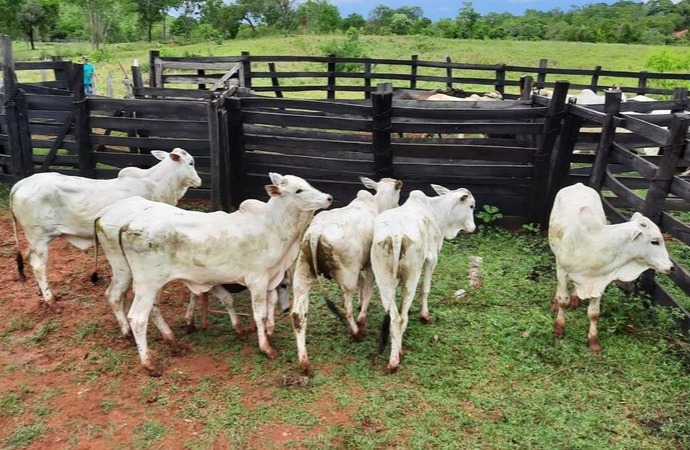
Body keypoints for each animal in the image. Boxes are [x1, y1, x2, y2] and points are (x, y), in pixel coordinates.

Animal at [10, 149, 200, 312]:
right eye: (191, 163)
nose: (199, 181)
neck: (157, 183)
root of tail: (22, 183)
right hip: (39, 239)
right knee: (38, 266)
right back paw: (51, 300)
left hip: (35, 240)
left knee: (28, 257)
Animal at [98, 173, 332, 376]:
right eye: (299, 190)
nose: (328, 197)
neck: (273, 226)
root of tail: (128, 225)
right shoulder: (257, 279)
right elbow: (261, 313)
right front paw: (266, 347)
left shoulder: (267, 278)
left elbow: (261, 303)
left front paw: (263, 332)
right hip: (146, 283)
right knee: (137, 317)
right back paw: (149, 363)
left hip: (148, 281)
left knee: (149, 308)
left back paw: (173, 342)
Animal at [292, 176, 404, 376]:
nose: (397, 205)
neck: (376, 203)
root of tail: (315, 234)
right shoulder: (369, 266)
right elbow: (367, 291)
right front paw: (362, 319)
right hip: (347, 275)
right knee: (346, 308)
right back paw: (356, 332)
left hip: (302, 274)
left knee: (298, 316)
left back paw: (305, 363)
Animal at [370, 184, 472, 372]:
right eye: (471, 206)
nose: (472, 227)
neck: (434, 209)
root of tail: (396, 236)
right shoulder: (432, 258)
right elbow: (425, 289)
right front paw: (424, 315)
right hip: (413, 273)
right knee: (400, 319)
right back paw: (395, 359)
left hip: (382, 278)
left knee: (394, 317)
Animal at [548, 183, 672, 356]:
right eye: (655, 241)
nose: (671, 267)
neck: (596, 247)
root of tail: (579, 184)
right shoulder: (562, 270)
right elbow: (563, 301)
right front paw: (559, 328)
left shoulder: (600, 281)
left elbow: (594, 313)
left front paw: (594, 342)